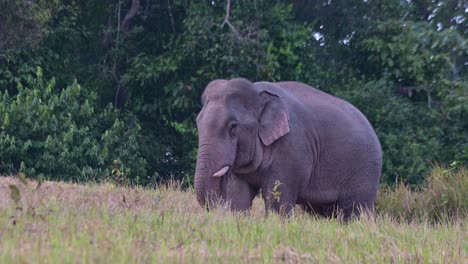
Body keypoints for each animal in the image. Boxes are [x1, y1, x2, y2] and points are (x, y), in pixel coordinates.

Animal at [193, 77, 380, 219]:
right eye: (198, 123)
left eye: (233, 127)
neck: (258, 92)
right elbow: (238, 196)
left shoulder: (291, 147)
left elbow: (278, 199)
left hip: (365, 171)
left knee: (354, 210)